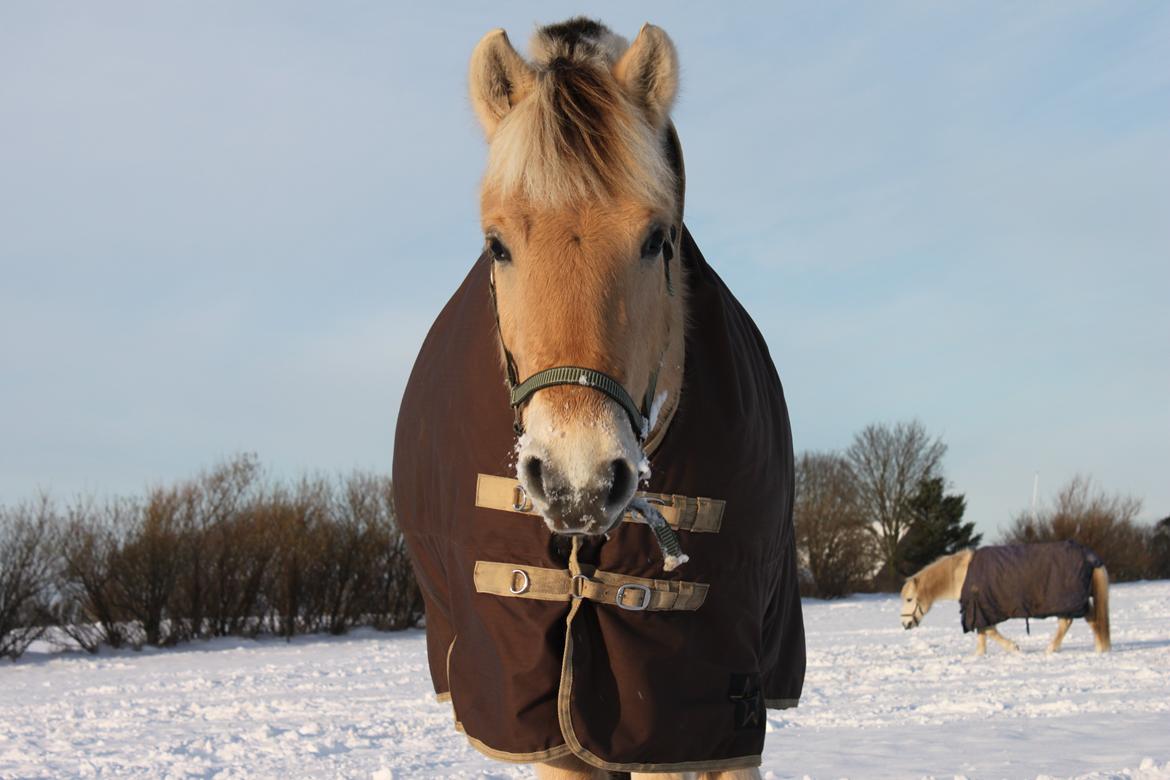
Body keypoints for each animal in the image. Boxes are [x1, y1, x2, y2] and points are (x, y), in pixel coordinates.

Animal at [898, 540, 1109, 654]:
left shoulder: (980, 609)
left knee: (1075, 621)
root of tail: (1088, 555)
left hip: (1069, 602)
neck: (961, 575)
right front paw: (978, 655)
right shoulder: (979, 609)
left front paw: (1014, 648)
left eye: (909, 600)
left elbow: (990, 631)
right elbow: (983, 634)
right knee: (1089, 619)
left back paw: (1055, 649)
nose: (905, 624)